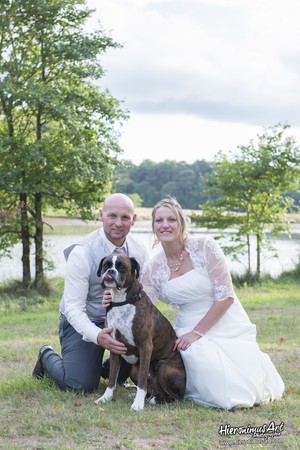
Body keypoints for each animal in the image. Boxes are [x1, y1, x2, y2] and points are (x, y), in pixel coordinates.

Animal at [95, 253, 186, 412]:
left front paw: (138, 404)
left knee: (175, 397)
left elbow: (142, 383)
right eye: (106, 265)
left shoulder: (145, 346)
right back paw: (149, 397)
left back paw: (155, 400)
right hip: (134, 370)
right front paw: (106, 397)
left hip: (163, 367)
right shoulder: (115, 347)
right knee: (156, 390)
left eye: (122, 267)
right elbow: (112, 378)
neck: (122, 300)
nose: (111, 271)